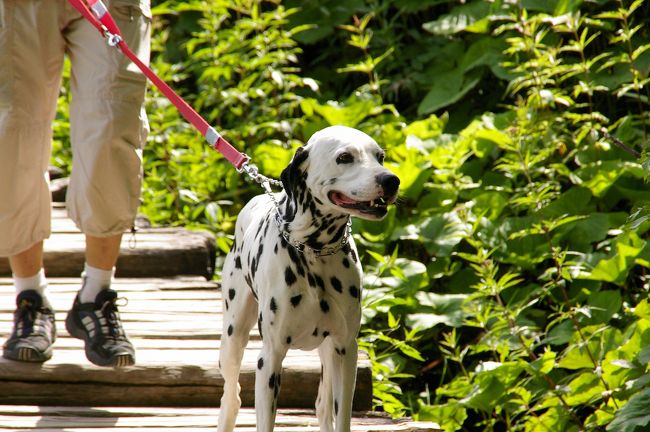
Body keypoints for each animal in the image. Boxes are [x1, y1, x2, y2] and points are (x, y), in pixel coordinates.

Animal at [218, 125, 398, 432]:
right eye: (345, 157)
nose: (391, 180)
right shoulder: (270, 359)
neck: (316, 252)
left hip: (329, 353)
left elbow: (341, 417)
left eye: (380, 156)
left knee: (323, 406)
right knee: (231, 399)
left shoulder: (346, 351)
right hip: (232, 341)